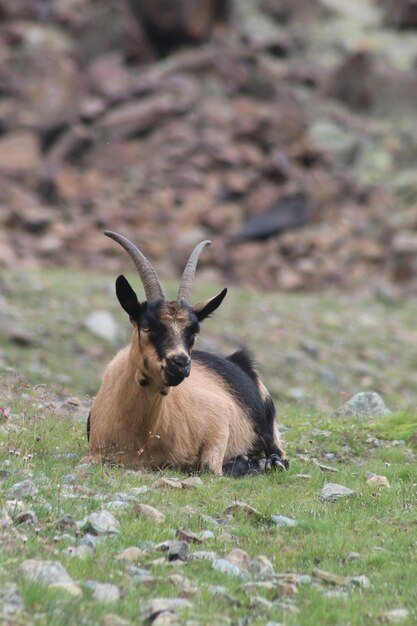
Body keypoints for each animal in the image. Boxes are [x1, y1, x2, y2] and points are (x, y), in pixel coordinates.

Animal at [86, 232, 288, 476]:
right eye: (146, 326)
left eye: (194, 331)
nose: (180, 363)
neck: (140, 442)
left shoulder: (220, 422)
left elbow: (210, 467)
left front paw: (248, 462)